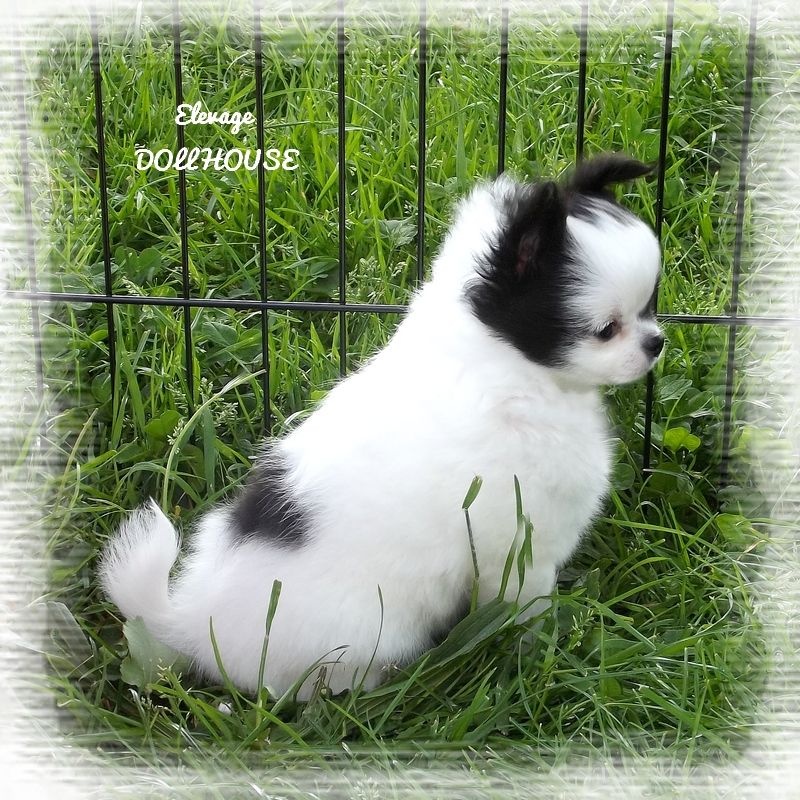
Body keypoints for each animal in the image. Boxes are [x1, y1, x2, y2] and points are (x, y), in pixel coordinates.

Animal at [100, 154, 664, 700]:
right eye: (606, 330)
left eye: (651, 306)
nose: (656, 343)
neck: (504, 362)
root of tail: (194, 620)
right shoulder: (521, 545)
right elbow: (525, 606)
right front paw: (537, 650)